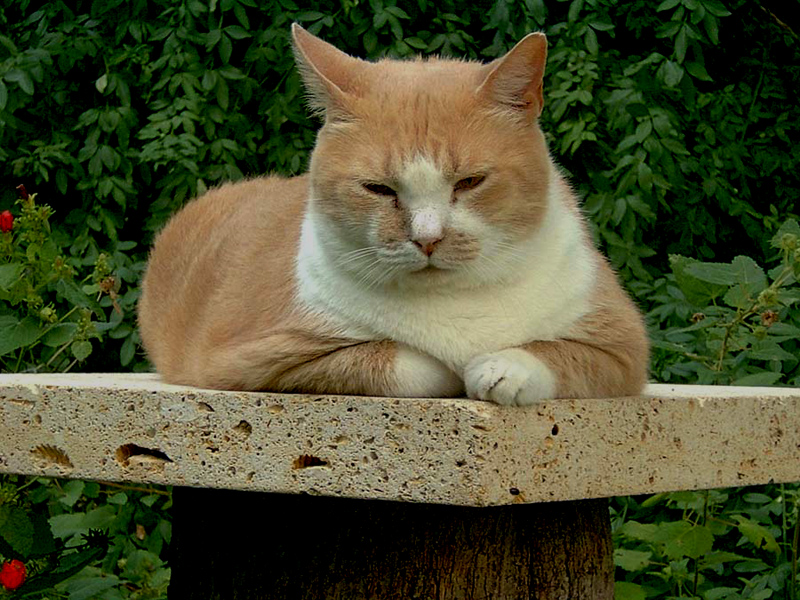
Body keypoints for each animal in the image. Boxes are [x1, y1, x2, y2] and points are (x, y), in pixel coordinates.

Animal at [138, 24, 648, 408]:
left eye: (469, 182)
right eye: (379, 189)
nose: (428, 238)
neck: (450, 302)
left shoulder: (624, 347)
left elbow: (557, 354)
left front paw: (503, 368)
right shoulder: (252, 358)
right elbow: (401, 361)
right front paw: (453, 370)